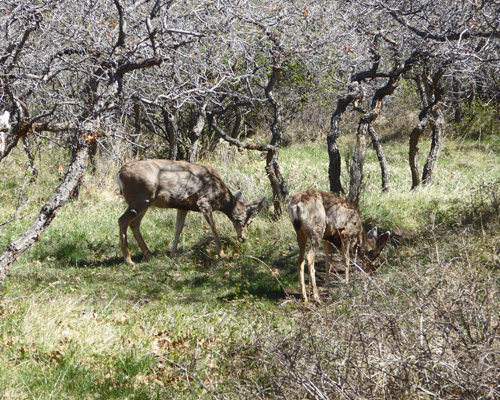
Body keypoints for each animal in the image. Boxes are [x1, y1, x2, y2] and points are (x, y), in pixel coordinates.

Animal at [116, 159, 266, 266]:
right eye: (249, 221)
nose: (243, 238)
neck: (221, 197)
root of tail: (119, 173)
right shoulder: (204, 202)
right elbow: (214, 227)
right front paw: (222, 254)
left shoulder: (183, 206)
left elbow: (178, 228)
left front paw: (172, 254)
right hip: (140, 200)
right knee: (122, 220)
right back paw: (129, 260)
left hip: (145, 202)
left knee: (134, 224)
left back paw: (149, 255)